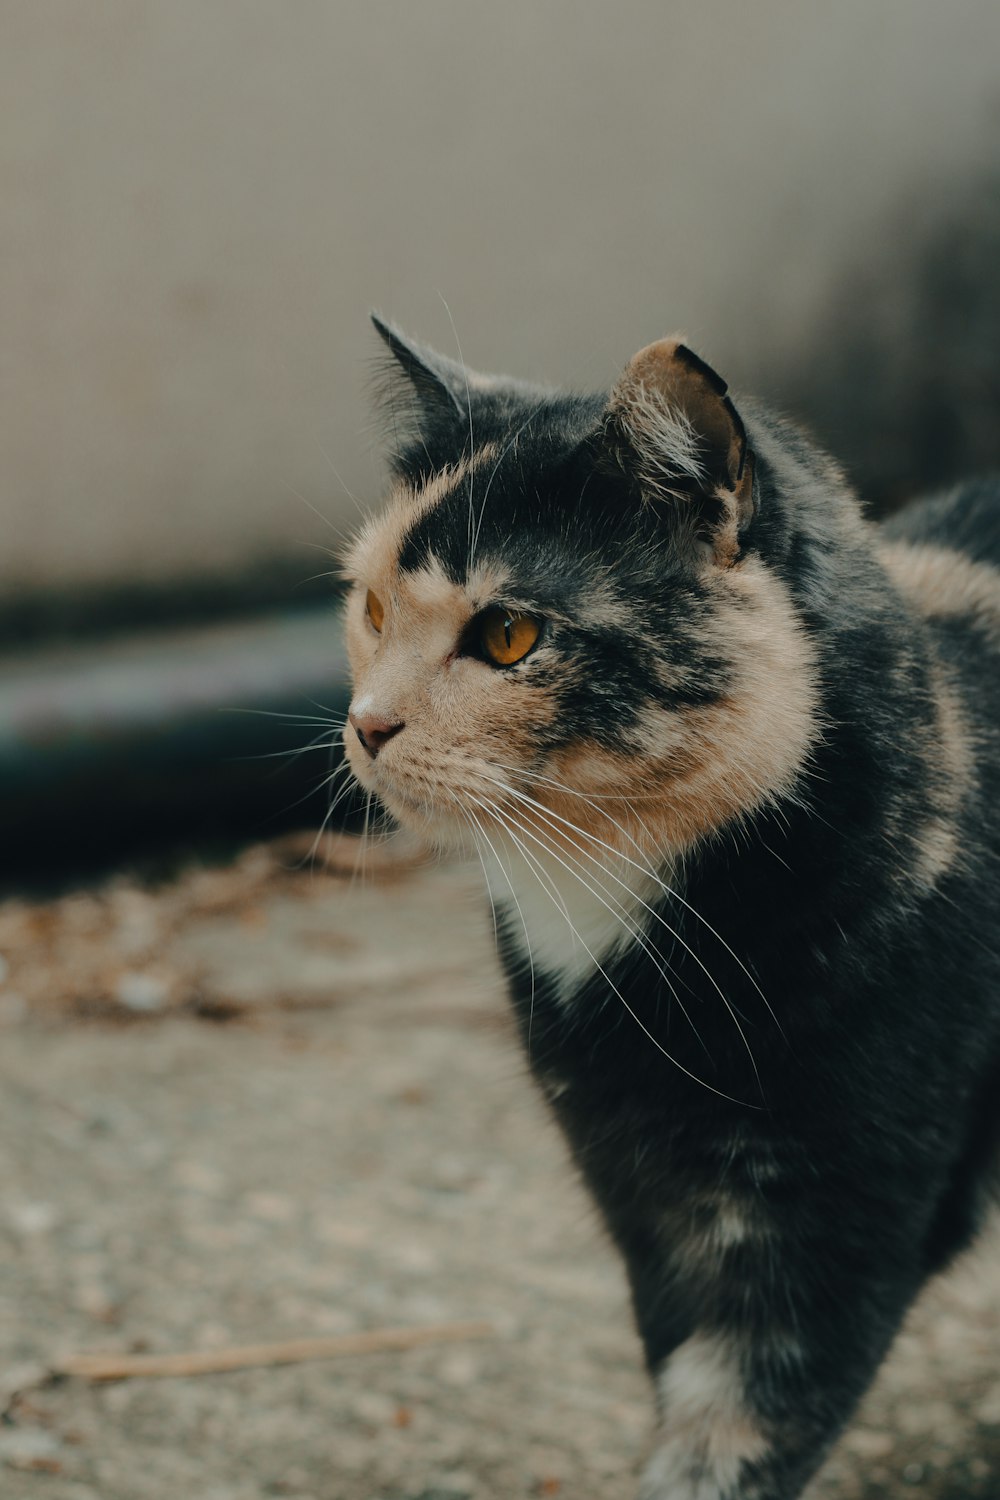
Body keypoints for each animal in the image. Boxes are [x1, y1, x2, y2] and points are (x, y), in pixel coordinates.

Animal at [341, 316, 1000, 1500]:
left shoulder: (843, 1215)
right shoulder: (640, 1195)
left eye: (509, 636)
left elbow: (740, 1425)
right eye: (371, 606)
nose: (366, 724)